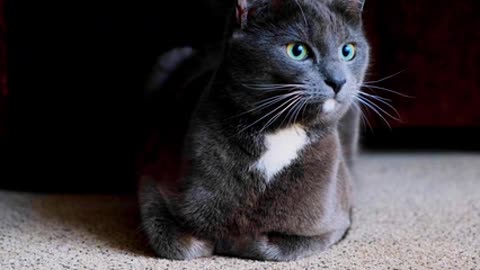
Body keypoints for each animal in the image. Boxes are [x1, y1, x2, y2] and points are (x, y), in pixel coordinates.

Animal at [137, 0, 370, 262]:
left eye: (347, 51)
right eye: (297, 51)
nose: (338, 81)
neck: (279, 131)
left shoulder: (333, 222)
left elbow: (273, 246)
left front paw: (240, 240)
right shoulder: (153, 183)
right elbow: (178, 245)